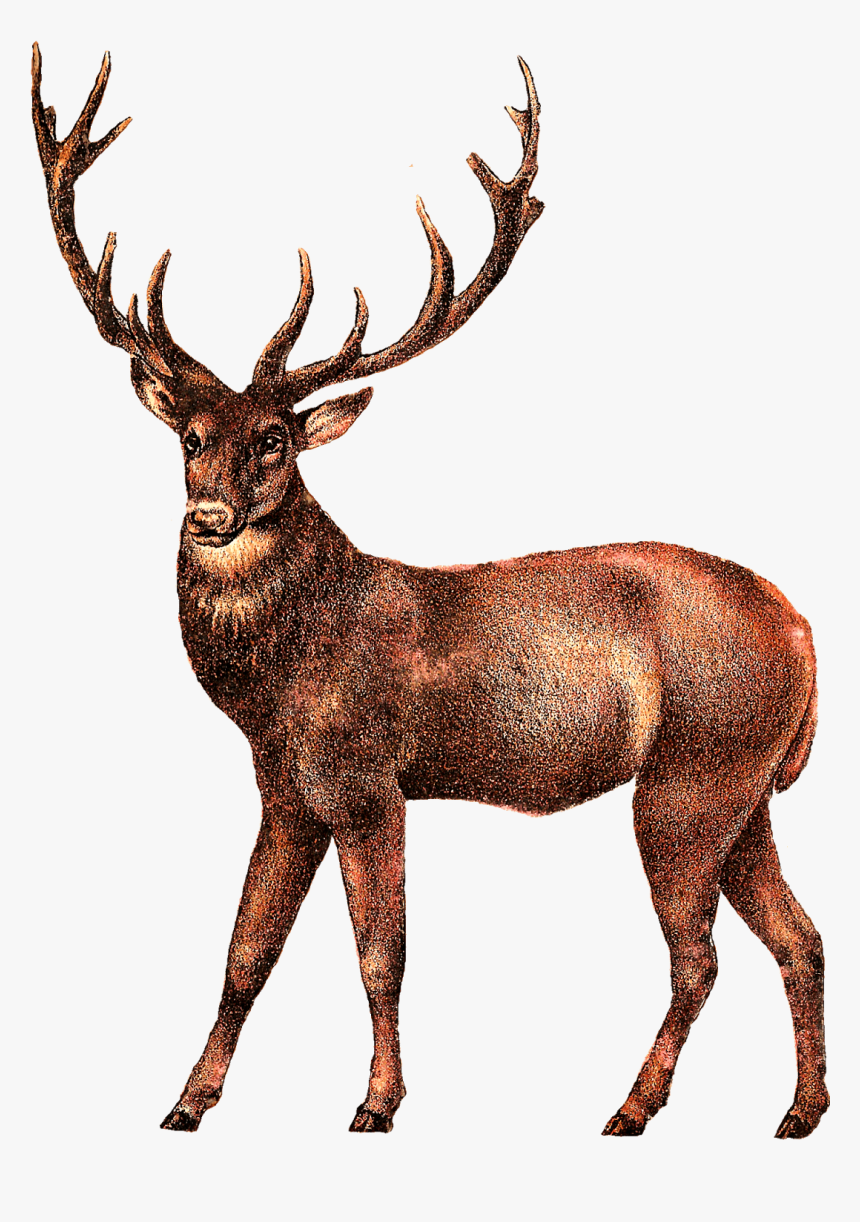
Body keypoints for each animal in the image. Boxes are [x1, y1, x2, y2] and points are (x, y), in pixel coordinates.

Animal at [32, 43, 828, 1140]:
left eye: (273, 441)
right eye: (189, 438)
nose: (209, 515)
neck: (278, 683)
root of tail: (802, 629)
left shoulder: (365, 779)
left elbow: (381, 955)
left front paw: (376, 1102)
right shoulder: (284, 788)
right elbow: (244, 954)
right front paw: (186, 1103)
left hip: (691, 777)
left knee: (698, 956)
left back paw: (630, 1107)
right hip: (742, 791)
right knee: (801, 937)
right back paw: (798, 1110)